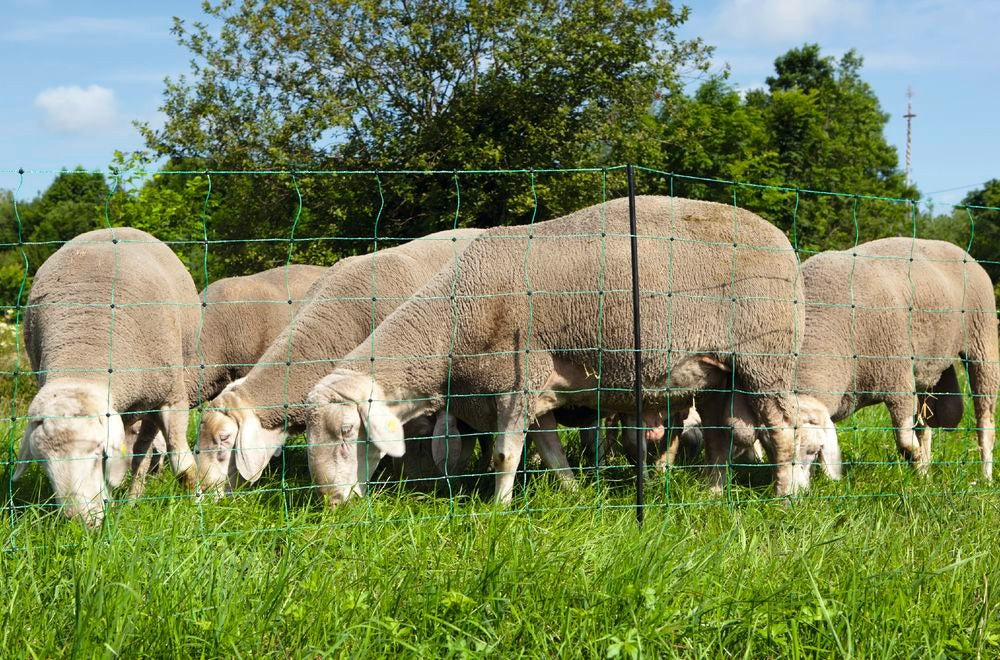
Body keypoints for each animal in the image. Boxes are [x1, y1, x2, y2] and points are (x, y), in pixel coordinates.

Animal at [15, 227, 201, 524]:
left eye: (98, 454)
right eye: (43, 462)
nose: (79, 522)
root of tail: (112, 229)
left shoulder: (171, 397)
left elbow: (183, 467)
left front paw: (197, 511)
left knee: (143, 453)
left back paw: (134, 499)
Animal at [304, 195, 804, 506]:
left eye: (347, 432)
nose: (332, 503)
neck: (452, 324)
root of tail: (781, 239)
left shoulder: (516, 381)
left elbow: (506, 455)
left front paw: (497, 510)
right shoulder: (535, 391)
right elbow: (549, 450)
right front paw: (573, 493)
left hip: (766, 362)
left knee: (783, 432)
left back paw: (783, 497)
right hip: (719, 373)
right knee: (720, 438)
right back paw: (712, 493)